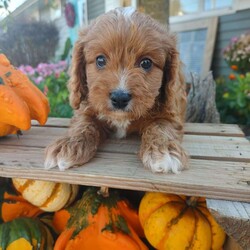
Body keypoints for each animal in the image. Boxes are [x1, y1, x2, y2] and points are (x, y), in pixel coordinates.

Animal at [44, 6, 188, 173]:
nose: (120, 98)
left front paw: (164, 150)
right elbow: (83, 124)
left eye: (146, 63)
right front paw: (68, 144)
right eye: (100, 60)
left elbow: (161, 126)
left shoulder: (170, 114)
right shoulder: (86, 109)